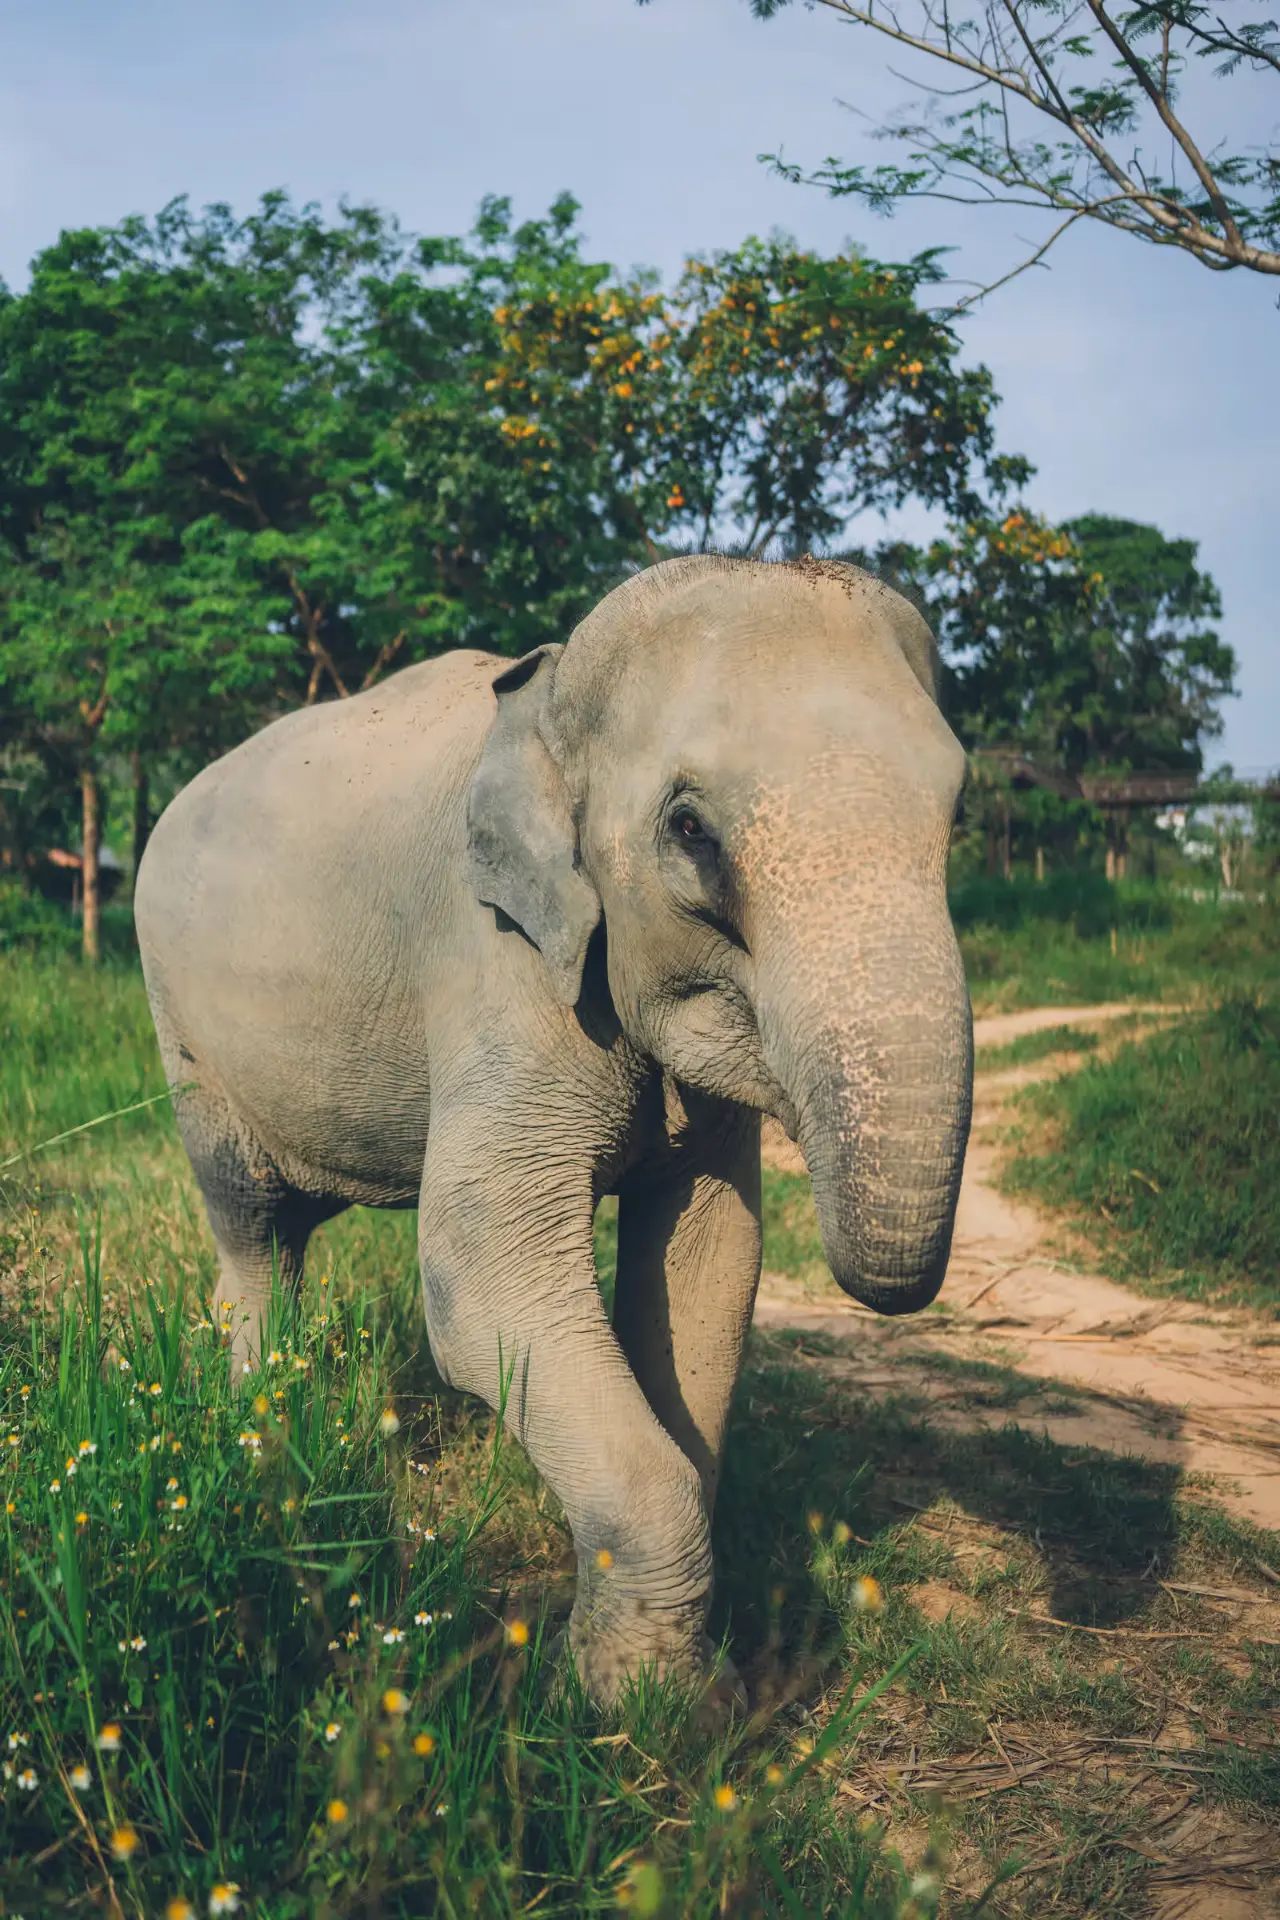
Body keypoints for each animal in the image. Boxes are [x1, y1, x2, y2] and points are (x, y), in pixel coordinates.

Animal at [134, 553, 972, 1708]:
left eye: (960, 816)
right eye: (689, 830)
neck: (554, 685)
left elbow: (710, 1263)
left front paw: (692, 1688)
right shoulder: (499, 956)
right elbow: (479, 1267)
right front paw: (642, 1712)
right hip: (179, 1023)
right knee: (253, 1224)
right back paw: (265, 1444)